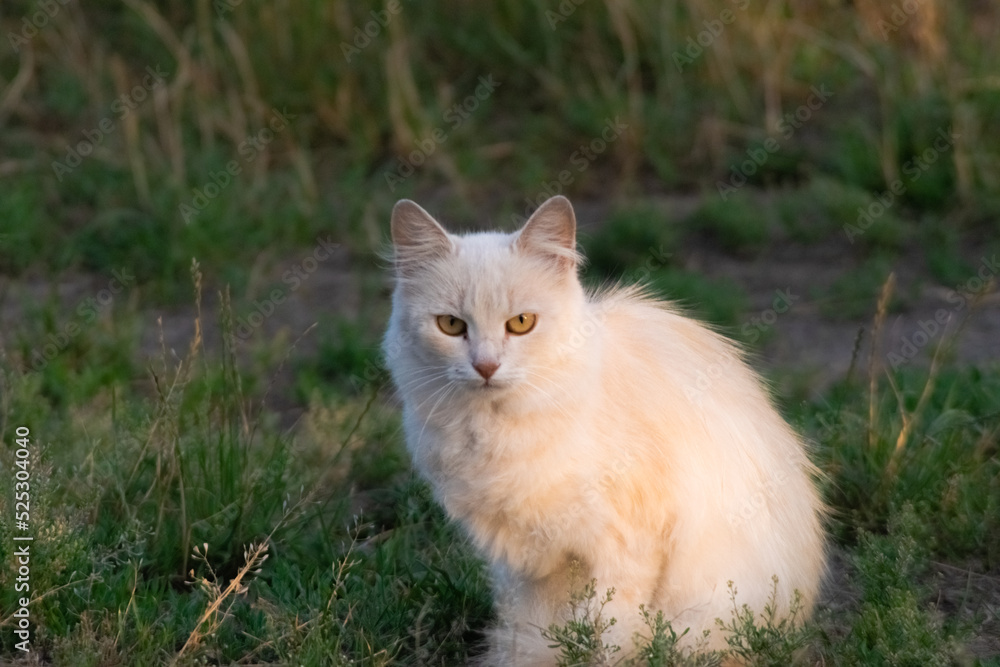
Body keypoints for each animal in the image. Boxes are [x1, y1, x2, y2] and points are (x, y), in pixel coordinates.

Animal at [382, 196, 828, 664]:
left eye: (521, 323)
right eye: (451, 325)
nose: (486, 367)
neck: (494, 433)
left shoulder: (626, 546)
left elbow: (608, 632)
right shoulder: (525, 566)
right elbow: (529, 632)